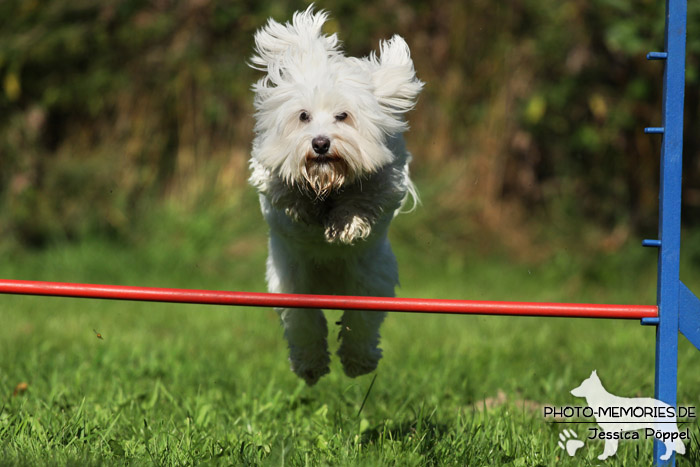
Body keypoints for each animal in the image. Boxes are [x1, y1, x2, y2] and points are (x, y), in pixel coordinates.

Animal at [249, 6, 424, 388]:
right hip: (293, 283)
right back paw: (311, 364)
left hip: (369, 279)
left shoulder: (386, 178)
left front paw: (346, 224)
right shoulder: (269, 178)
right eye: (303, 116)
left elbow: (367, 197)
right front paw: (303, 204)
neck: (328, 183)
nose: (320, 143)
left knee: (361, 321)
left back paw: (358, 360)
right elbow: (282, 190)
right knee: (304, 323)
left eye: (343, 116)